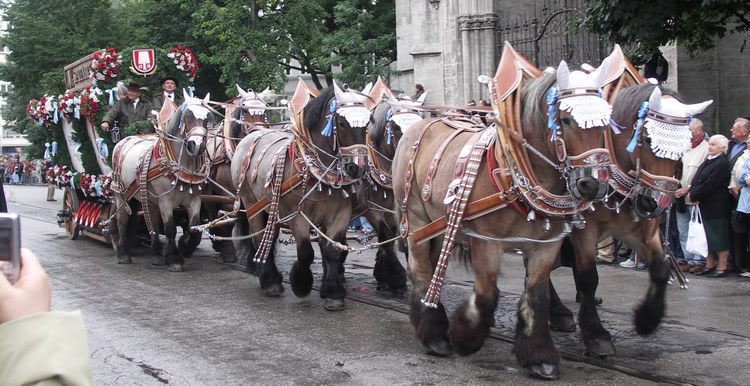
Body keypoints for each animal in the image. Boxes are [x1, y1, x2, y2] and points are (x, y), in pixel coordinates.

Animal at [229, 81, 370, 310]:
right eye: (341, 123)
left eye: (367, 123)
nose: (357, 168)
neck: (318, 174)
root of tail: (253, 134)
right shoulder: (297, 216)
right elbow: (306, 252)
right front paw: (301, 284)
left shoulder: (340, 215)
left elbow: (332, 251)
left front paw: (333, 293)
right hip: (252, 205)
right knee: (260, 238)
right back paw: (270, 282)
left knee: (270, 238)